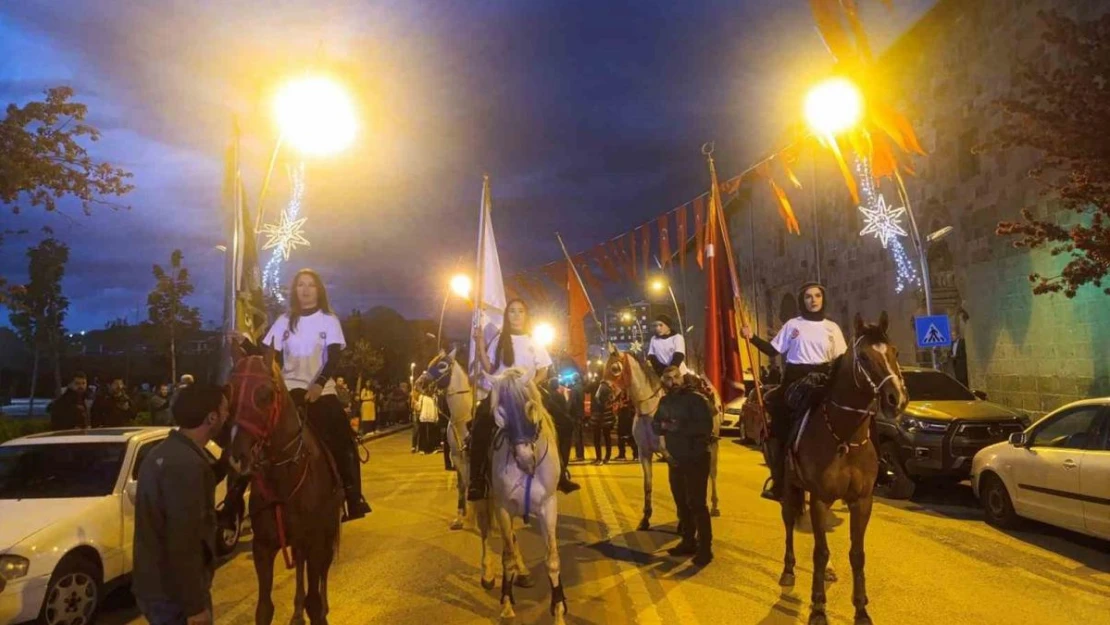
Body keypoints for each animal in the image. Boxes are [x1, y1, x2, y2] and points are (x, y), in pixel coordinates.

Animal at [225, 350, 341, 625]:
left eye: (266, 394)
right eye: (229, 390)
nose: (237, 457)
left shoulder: (315, 541)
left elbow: (314, 601)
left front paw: (318, 609)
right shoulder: (263, 547)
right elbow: (264, 608)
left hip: (328, 534)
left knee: (322, 571)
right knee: (300, 567)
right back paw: (296, 612)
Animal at [419, 353, 532, 590]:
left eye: (441, 365)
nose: (419, 383)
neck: (463, 419)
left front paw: (520, 567)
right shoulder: (460, 462)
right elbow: (467, 495)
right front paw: (461, 518)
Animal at [488, 368, 568, 621]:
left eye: (530, 408)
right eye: (500, 414)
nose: (525, 460)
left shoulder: (548, 507)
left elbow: (552, 559)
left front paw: (559, 609)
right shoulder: (502, 508)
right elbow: (508, 557)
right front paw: (506, 605)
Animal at [594, 344, 723, 530]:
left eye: (615, 368)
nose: (599, 396)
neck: (650, 412)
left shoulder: (672, 456)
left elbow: (678, 487)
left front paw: (682, 520)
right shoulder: (644, 454)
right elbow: (648, 485)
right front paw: (645, 518)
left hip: (713, 445)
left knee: (712, 473)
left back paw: (714, 506)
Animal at [777, 313, 905, 625]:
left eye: (895, 352)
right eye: (864, 356)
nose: (896, 398)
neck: (844, 437)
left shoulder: (862, 501)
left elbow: (857, 553)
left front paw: (861, 609)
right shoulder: (820, 499)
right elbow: (819, 552)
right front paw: (818, 608)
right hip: (789, 486)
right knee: (789, 522)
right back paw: (788, 570)